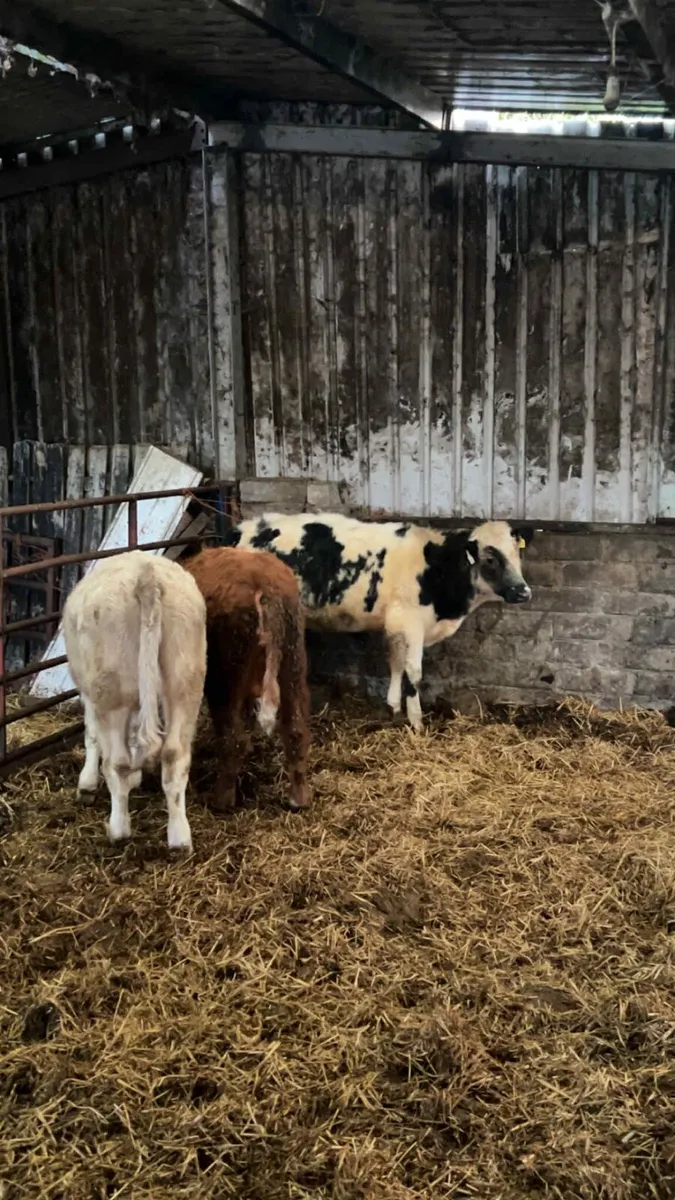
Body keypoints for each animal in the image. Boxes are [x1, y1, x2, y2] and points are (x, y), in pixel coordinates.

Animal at [63, 550, 206, 851]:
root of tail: (145, 573)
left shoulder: (90, 693)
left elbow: (91, 734)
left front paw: (87, 783)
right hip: (184, 681)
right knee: (175, 756)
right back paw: (179, 839)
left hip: (111, 690)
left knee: (117, 762)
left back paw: (119, 829)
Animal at [182, 547, 311, 813]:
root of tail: (262, 584)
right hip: (293, 662)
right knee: (296, 729)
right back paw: (299, 799)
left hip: (223, 677)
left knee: (235, 741)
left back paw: (220, 801)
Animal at [224, 514, 534, 730]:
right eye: (491, 558)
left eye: (517, 553)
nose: (523, 592)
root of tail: (242, 529)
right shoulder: (412, 622)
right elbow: (414, 672)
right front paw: (416, 721)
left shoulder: (396, 623)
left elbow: (395, 662)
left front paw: (394, 707)